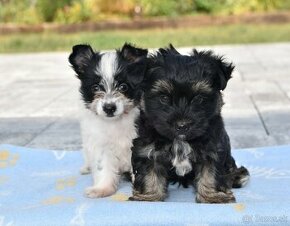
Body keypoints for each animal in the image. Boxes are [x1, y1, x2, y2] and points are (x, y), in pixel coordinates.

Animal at [69, 42, 147, 198]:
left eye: (123, 86)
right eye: (95, 87)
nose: (109, 107)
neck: (116, 122)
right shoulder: (100, 145)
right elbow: (103, 168)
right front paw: (102, 188)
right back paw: (86, 167)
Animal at [129, 45, 249, 204]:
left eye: (199, 98)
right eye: (164, 98)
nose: (182, 125)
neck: (180, 141)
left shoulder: (213, 148)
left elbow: (212, 172)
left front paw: (213, 196)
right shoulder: (147, 148)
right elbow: (149, 172)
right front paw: (149, 196)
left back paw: (237, 176)